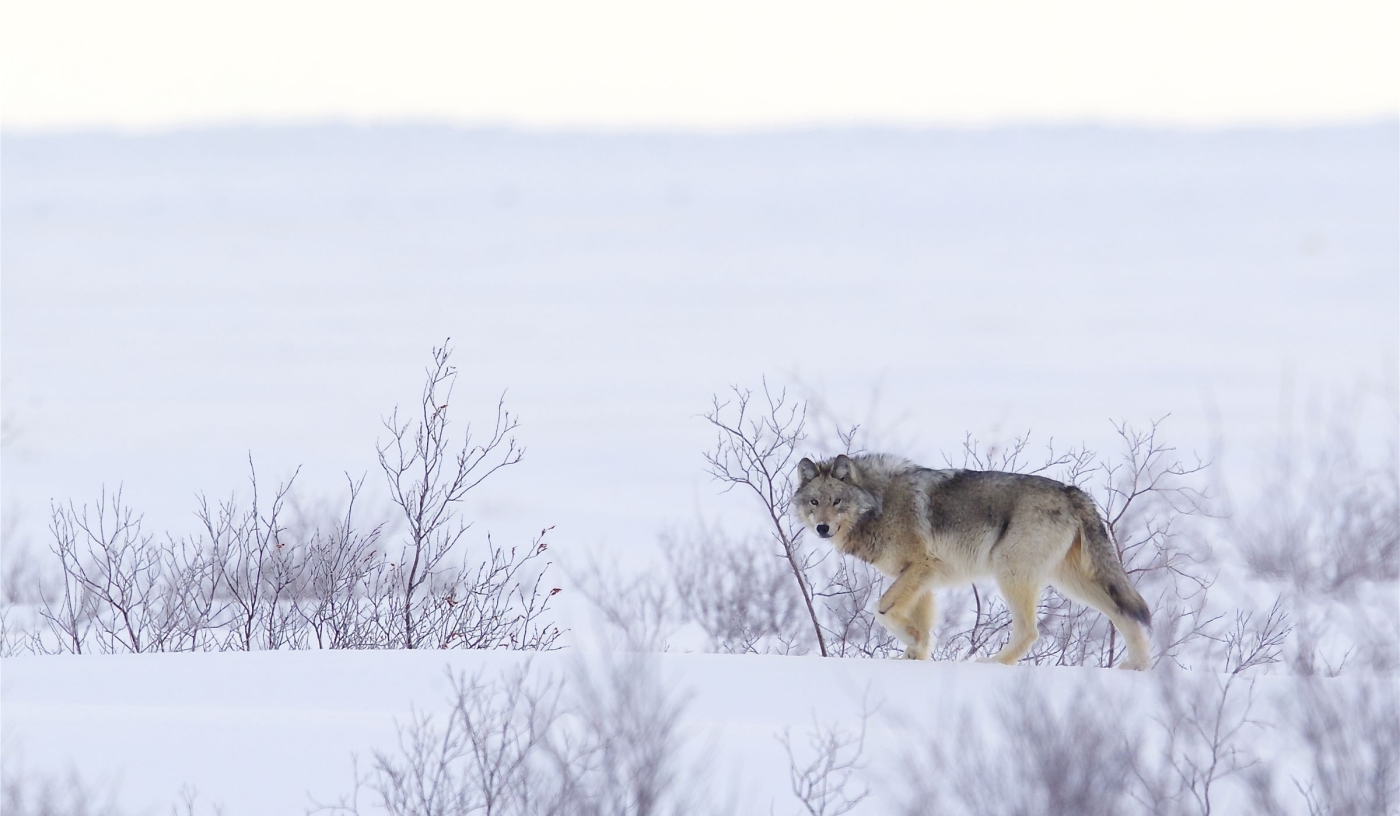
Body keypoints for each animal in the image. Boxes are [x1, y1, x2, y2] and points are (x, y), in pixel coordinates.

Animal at [794, 453, 1152, 670]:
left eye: (837, 501)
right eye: (814, 502)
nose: (823, 528)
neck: (879, 504)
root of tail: (1072, 491)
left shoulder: (922, 567)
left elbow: (882, 610)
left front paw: (912, 640)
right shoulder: (921, 579)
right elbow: (923, 625)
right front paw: (915, 655)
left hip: (1010, 570)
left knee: (1030, 631)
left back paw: (991, 664)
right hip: (1070, 583)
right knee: (1122, 614)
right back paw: (1136, 667)